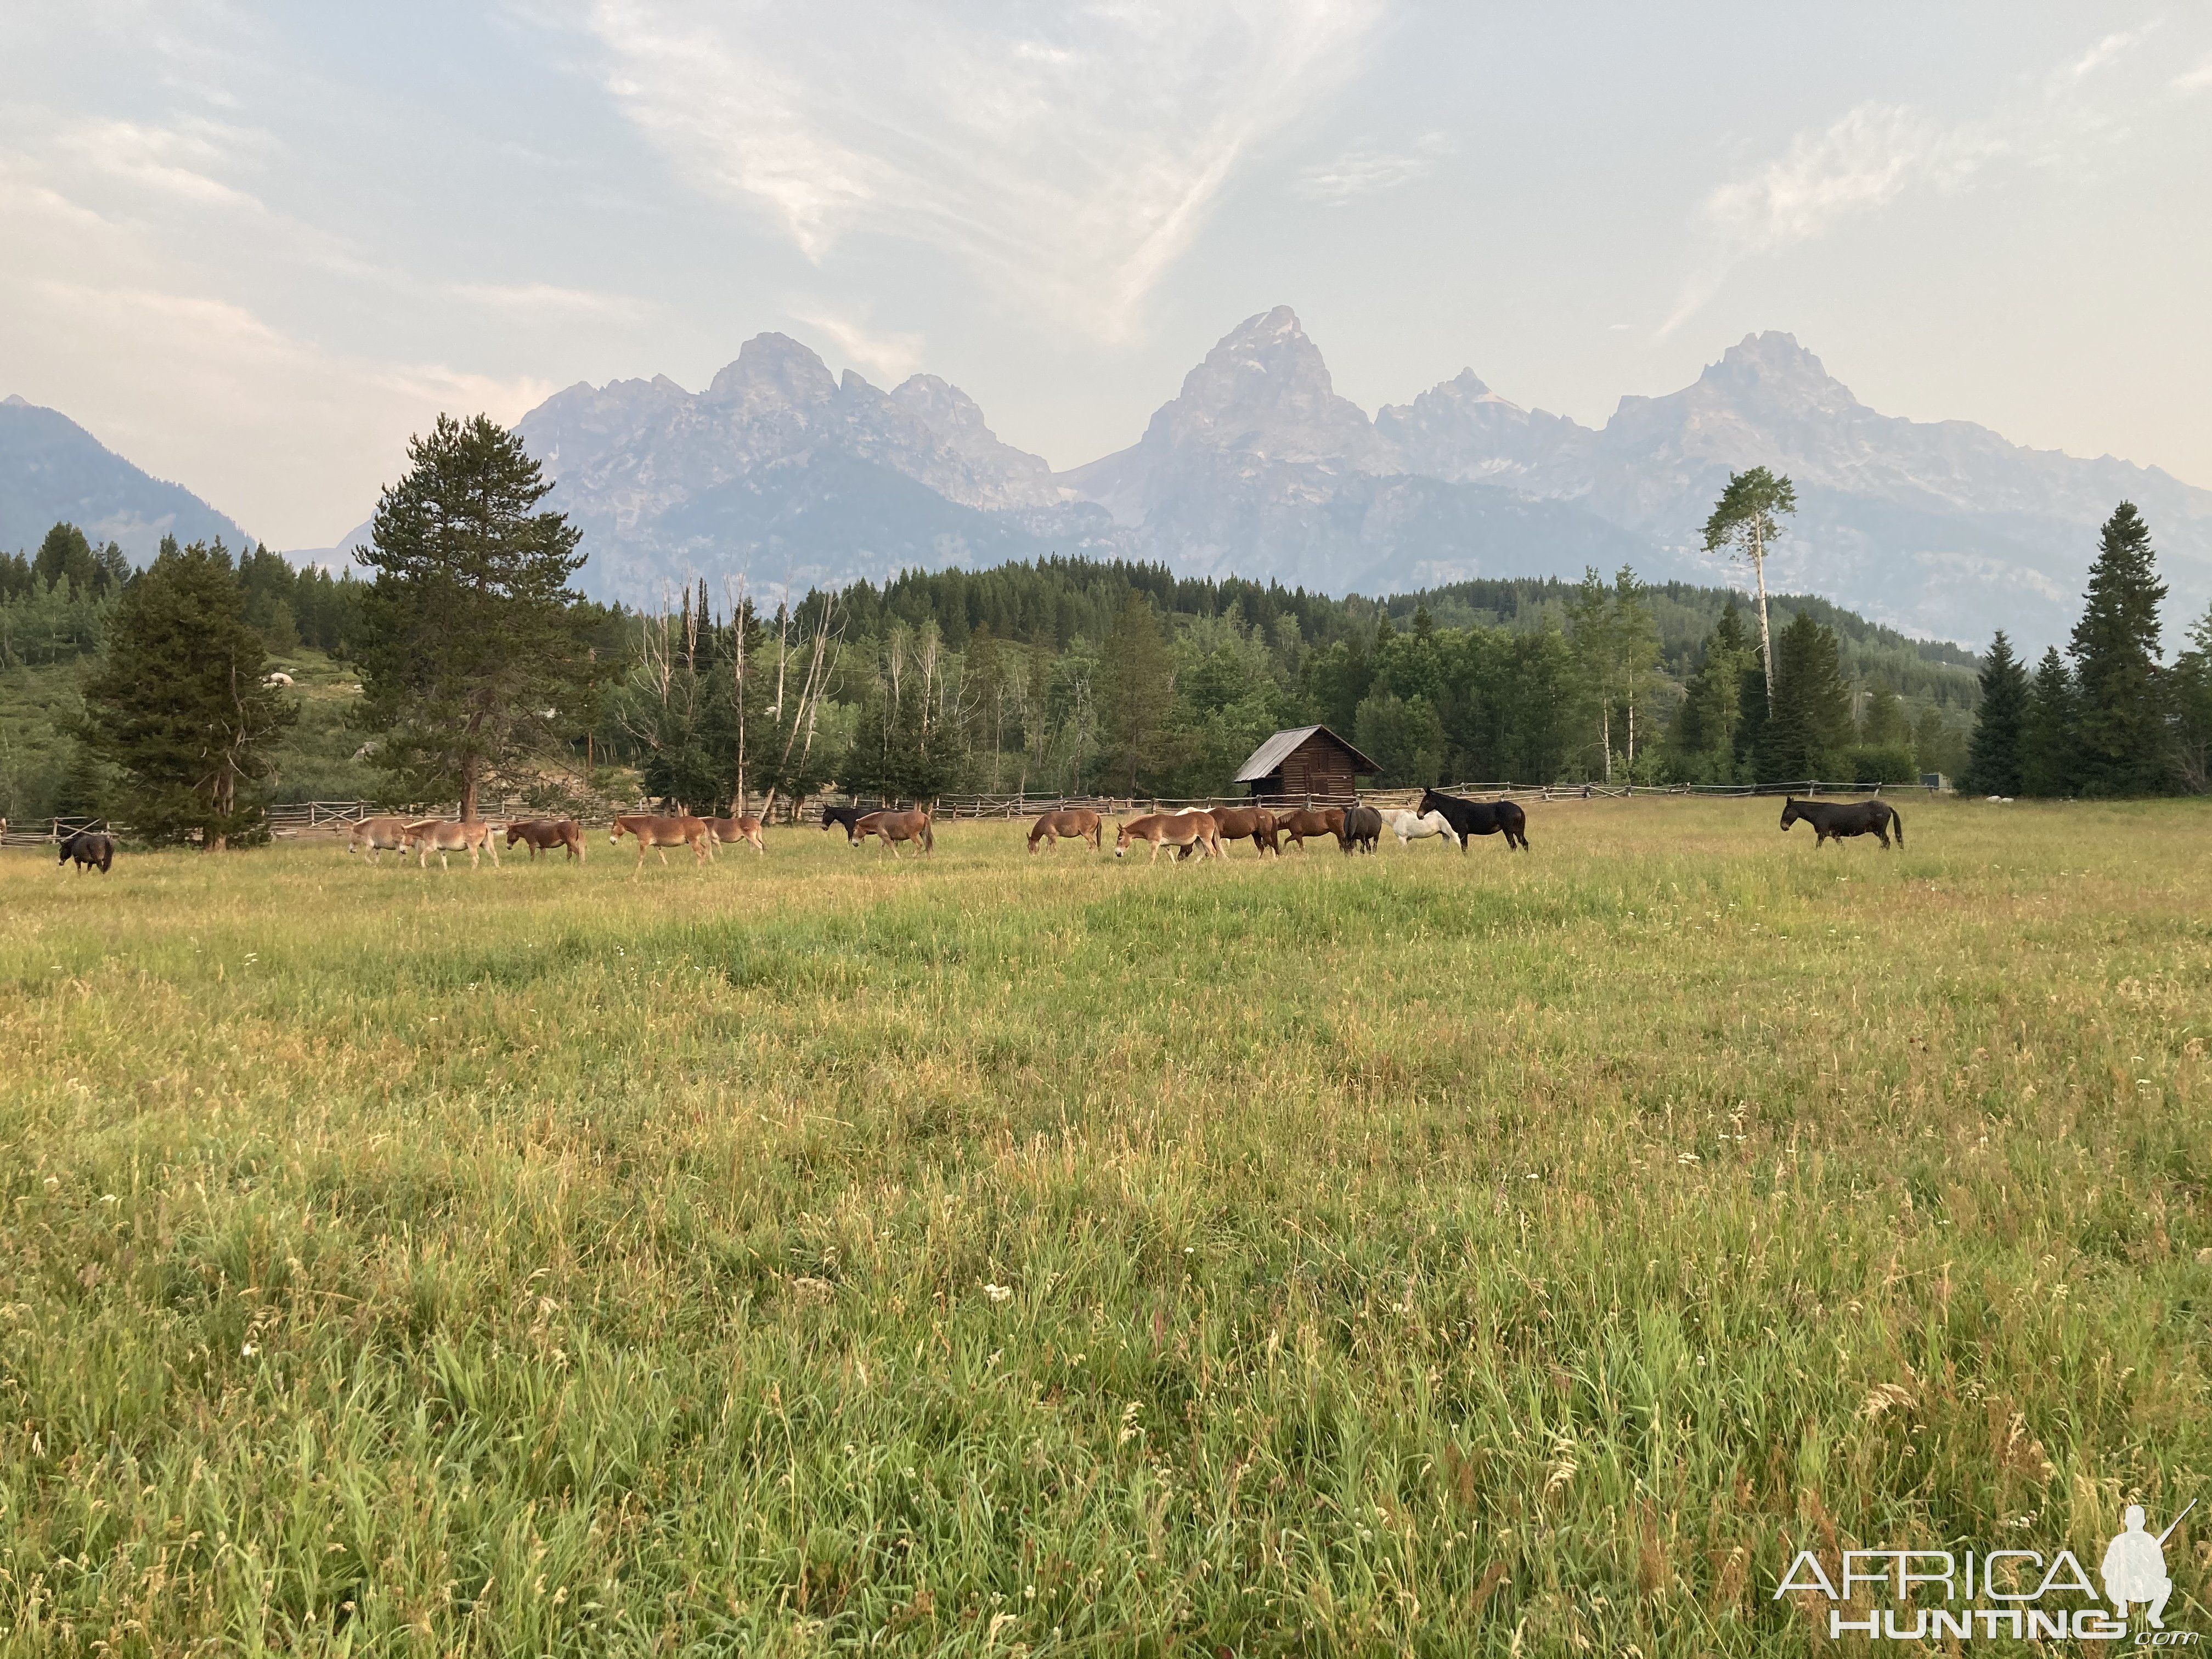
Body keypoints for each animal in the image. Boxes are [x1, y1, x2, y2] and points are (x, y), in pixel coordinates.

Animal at [1424, 787, 1531, 849]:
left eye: (1426, 801)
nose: (1420, 815)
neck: (1454, 809)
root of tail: (1519, 809)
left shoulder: (1463, 833)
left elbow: (1464, 848)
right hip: (1518, 831)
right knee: (1524, 843)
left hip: (1508, 831)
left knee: (1514, 846)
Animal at [1778, 800, 1902, 849]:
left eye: (1786, 812)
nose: (1783, 827)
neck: (1819, 813)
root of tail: (1887, 806)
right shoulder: (1836, 835)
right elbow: (1842, 847)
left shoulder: (1822, 834)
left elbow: (1818, 846)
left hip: (1879, 831)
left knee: (1886, 842)